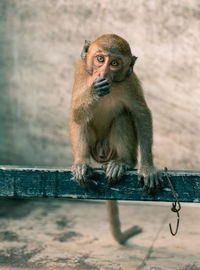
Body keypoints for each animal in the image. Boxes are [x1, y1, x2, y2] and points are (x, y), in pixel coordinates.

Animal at [69, 33, 162, 245]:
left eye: (114, 63)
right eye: (100, 59)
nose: (103, 73)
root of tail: (103, 152)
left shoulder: (130, 82)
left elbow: (141, 115)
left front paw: (147, 167)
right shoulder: (81, 72)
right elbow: (76, 113)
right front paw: (94, 91)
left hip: (113, 146)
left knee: (123, 116)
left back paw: (123, 163)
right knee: (81, 120)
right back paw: (81, 163)